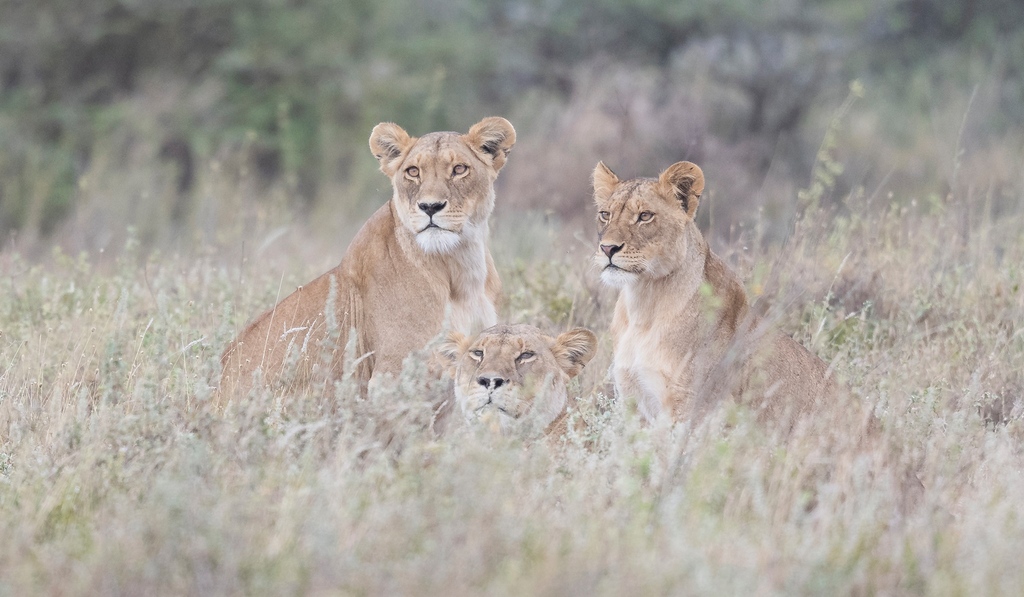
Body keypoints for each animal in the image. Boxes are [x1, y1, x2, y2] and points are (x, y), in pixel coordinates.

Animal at [592, 160, 838, 427]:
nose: (608, 248)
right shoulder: (631, 400)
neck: (643, 303)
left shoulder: (691, 405)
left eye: (645, 216)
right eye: (605, 214)